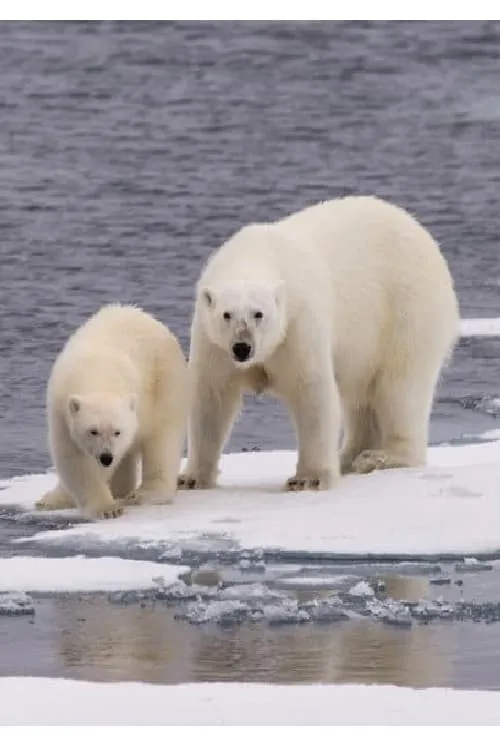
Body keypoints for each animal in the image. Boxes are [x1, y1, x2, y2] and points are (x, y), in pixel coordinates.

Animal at [35, 302, 188, 520]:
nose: (106, 457)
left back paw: (143, 493)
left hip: (167, 384)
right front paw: (107, 508)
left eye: (117, 431)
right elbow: (74, 458)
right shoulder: (61, 410)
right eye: (93, 431)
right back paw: (51, 500)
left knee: (163, 440)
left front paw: (109, 508)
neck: (98, 372)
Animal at [180, 197, 460, 494]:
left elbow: (311, 391)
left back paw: (379, 457)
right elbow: (211, 397)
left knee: (399, 386)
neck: (257, 253)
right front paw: (191, 478)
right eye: (226, 314)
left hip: (406, 309)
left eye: (258, 314)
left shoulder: (298, 325)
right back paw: (348, 457)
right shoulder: (212, 342)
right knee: (361, 396)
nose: (242, 347)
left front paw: (308, 478)